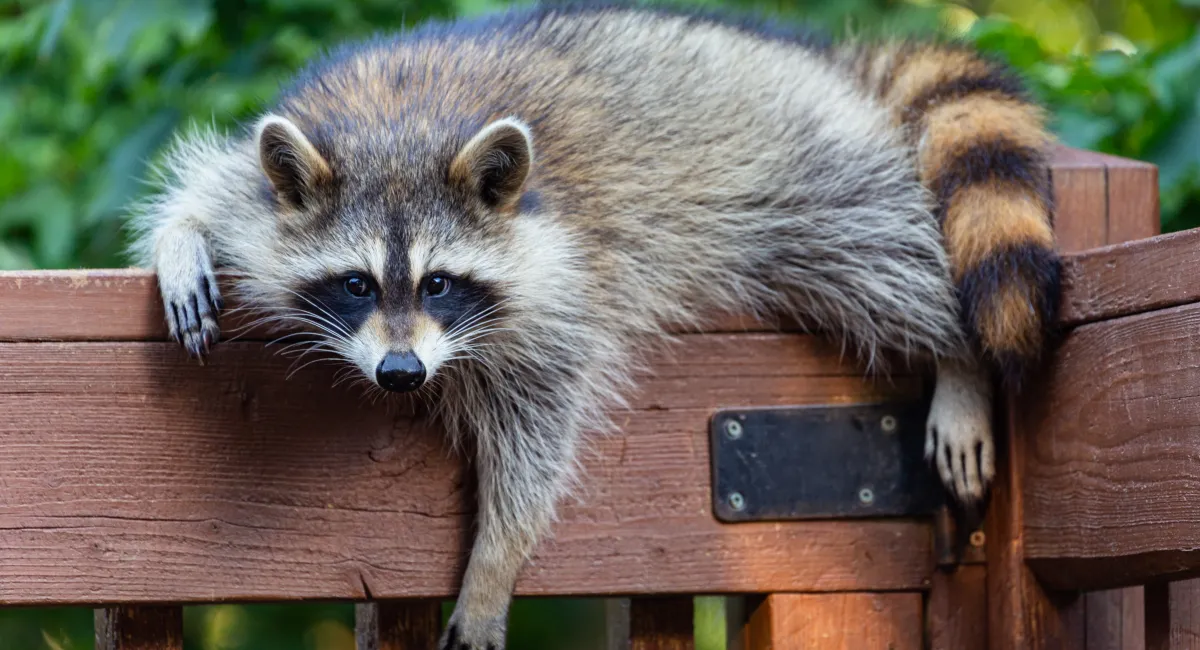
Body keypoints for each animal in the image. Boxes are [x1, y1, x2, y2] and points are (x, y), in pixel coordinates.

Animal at [129, 4, 1060, 648]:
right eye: (356, 284)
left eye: (438, 283)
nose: (400, 375)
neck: (402, 130)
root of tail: (820, 59)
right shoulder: (269, 176)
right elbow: (210, 189)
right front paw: (182, 239)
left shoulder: (562, 286)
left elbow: (538, 432)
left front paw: (494, 562)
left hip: (802, 169)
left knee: (883, 261)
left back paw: (957, 355)